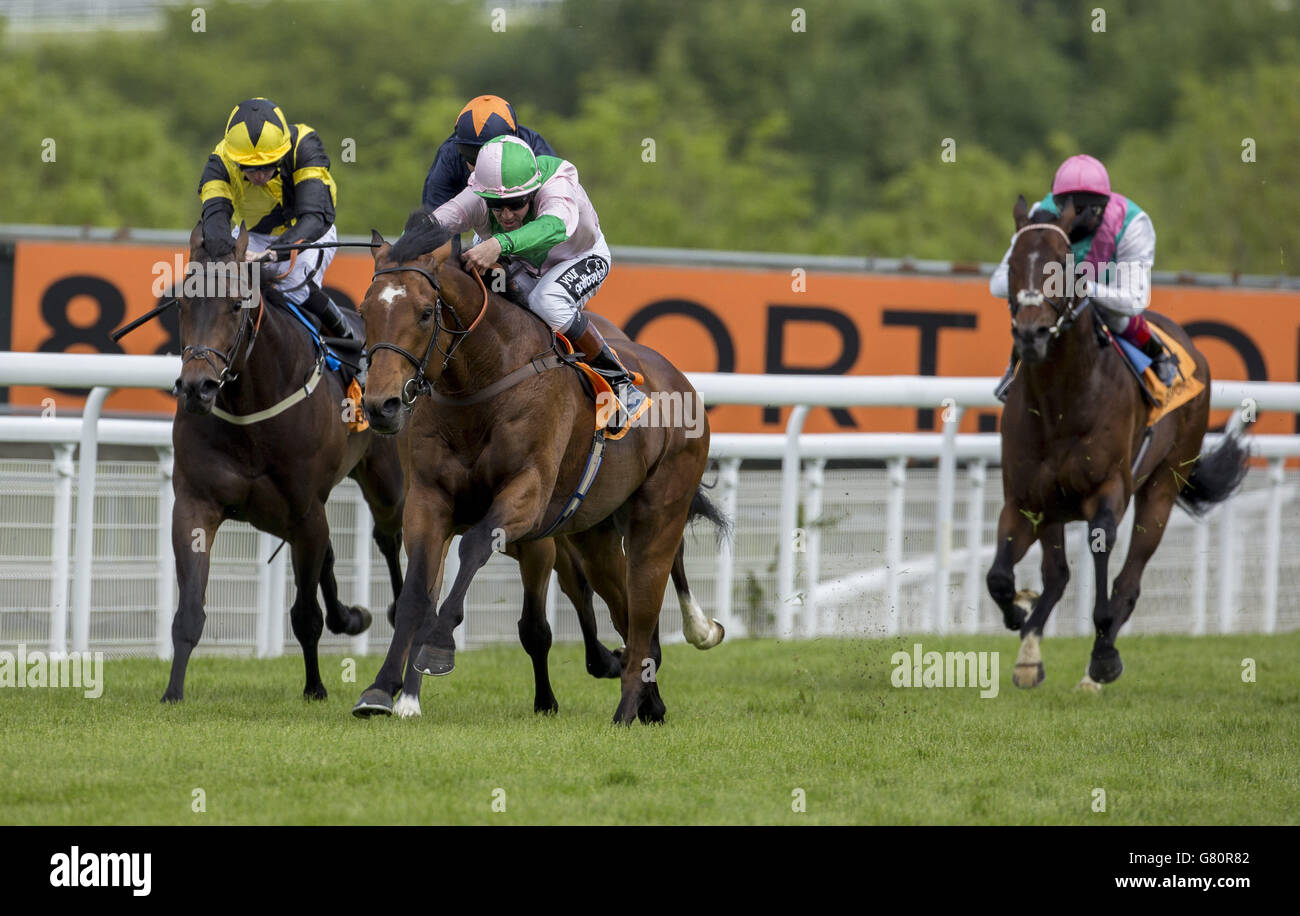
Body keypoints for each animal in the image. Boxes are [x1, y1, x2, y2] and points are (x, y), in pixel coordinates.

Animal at [351, 213, 728, 722]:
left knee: (645, 610)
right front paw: (382, 689)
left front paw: (439, 648)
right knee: (628, 617)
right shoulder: (428, 500)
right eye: (365, 311)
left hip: (658, 517)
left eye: (426, 313)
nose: (382, 406)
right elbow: (414, 595)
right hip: (595, 535)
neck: (482, 381)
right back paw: (648, 704)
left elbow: (476, 547)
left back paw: (626, 709)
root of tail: (680, 380)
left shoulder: (527, 497)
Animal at [982, 196, 1248, 691]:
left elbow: (1103, 550)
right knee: (1058, 574)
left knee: (1129, 580)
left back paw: (1097, 665)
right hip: (1055, 507)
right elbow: (1000, 579)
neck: (1061, 402)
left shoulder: (1108, 490)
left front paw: (1103, 653)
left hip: (1162, 486)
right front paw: (1019, 619)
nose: (1030, 334)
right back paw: (1030, 652)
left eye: (1064, 262)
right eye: (1012, 264)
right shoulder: (1025, 500)